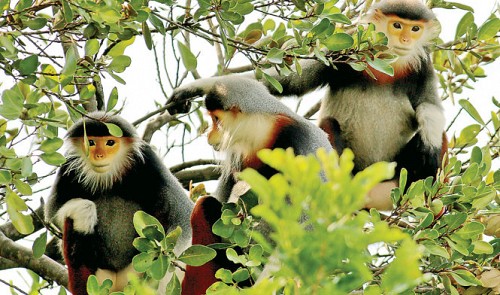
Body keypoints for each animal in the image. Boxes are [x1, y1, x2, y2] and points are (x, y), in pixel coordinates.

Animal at [45, 112, 193, 294]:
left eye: (110, 143)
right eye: (91, 142)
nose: (99, 156)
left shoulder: (149, 161)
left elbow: (183, 218)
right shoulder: (68, 166)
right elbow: (52, 213)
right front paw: (84, 210)